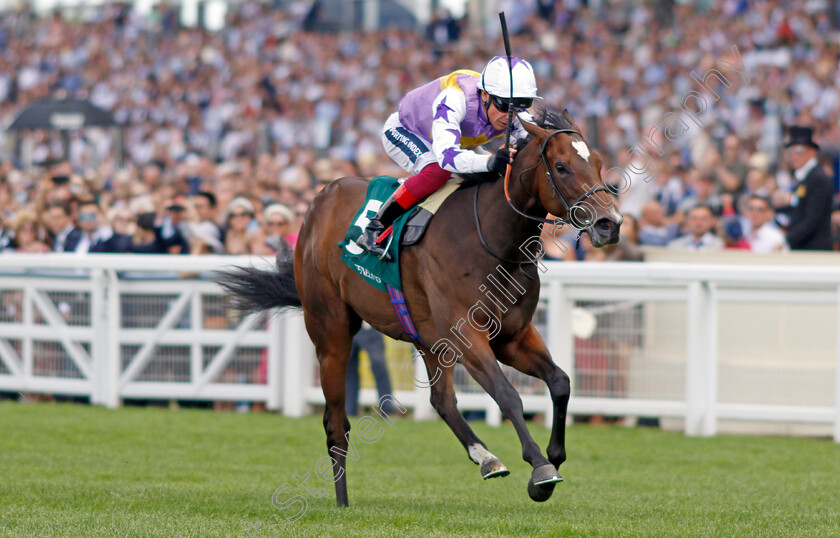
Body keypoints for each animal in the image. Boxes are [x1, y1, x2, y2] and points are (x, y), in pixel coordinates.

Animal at [215, 108, 624, 506]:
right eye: (562, 167)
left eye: (599, 163)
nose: (610, 224)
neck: (492, 237)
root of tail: (320, 199)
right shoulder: (466, 333)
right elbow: (507, 394)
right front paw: (540, 470)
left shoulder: (512, 336)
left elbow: (560, 382)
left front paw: (554, 455)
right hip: (330, 329)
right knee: (336, 422)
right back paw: (342, 501)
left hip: (427, 338)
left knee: (441, 400)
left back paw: (486, 458)